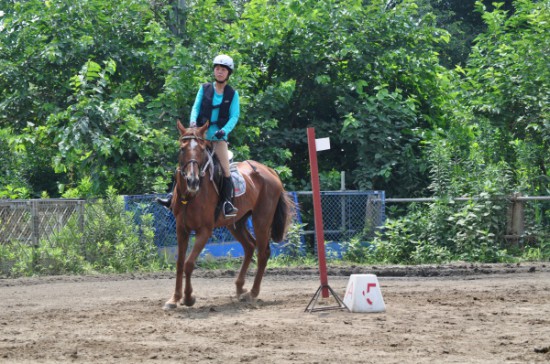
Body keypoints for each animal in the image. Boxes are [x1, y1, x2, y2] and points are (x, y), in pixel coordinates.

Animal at [165, 121, 298, 308]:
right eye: (182, 149)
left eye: (201, 150)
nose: (192, 181)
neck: (191, 196)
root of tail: (270, 171)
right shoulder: (181, 229)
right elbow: (179, 263)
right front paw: (175, 298)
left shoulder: (205, 231)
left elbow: (189, 263)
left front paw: (189, 297)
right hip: (236, 223)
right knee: (249, 246)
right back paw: (240, 287)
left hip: (261, 220)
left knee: (263, 252)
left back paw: (252, 293)